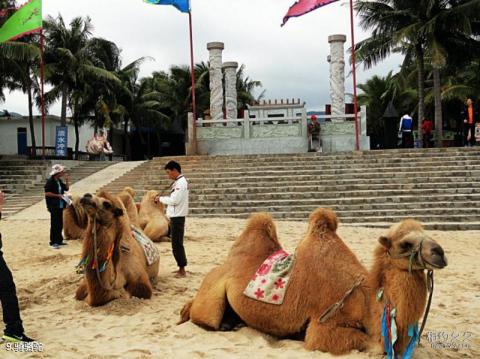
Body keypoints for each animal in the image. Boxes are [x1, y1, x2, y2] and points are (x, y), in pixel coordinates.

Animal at [179, 210, 446, 356]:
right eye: (405, 244)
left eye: (426, 232)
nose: (440, 253)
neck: (366, 300)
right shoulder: (322, 326)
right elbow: (364, 341)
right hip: (209, 302)